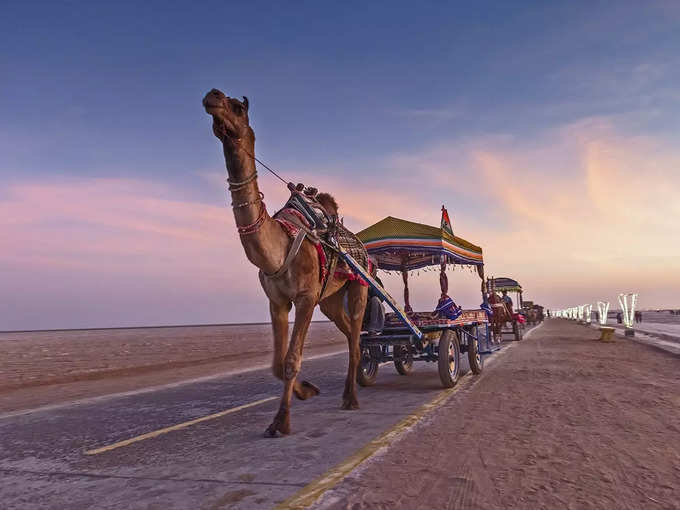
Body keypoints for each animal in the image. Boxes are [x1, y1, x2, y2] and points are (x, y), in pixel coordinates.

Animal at [203, 86, 366, 434]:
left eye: (238, 108)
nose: (213, 95)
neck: (277, 250)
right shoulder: (277, 300)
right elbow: (277, 364)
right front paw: (306, 391)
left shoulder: (304, 297)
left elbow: (291, 360)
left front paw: (281, 420)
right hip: (329, 300)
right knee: (349, 333)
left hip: (358, 286)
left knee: (357, 334)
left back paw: (351, 398)